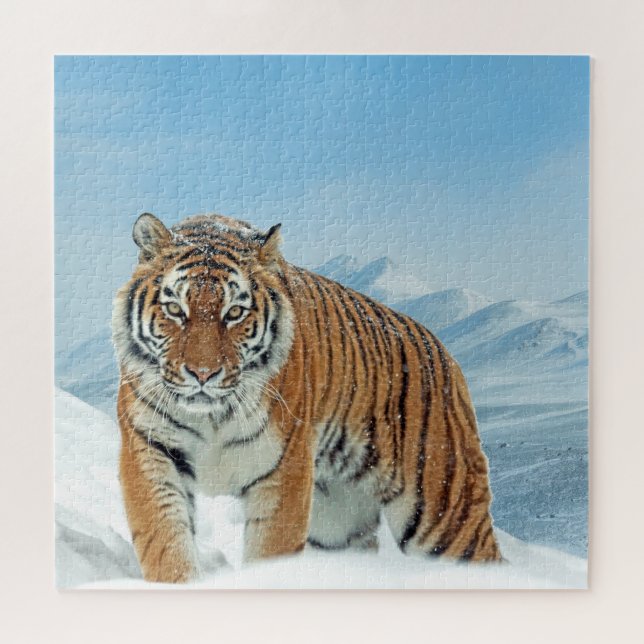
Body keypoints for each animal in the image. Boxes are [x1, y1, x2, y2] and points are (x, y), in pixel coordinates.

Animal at [112, 212, 502, 583]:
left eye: (234, 313)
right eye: (175, 310)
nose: (203, 374)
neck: (212, 416)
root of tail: (445, 353)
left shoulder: (283, 468)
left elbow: (271, 552)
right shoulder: (150, 449)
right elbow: (164, 540)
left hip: (445, 513)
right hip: (338, 523)